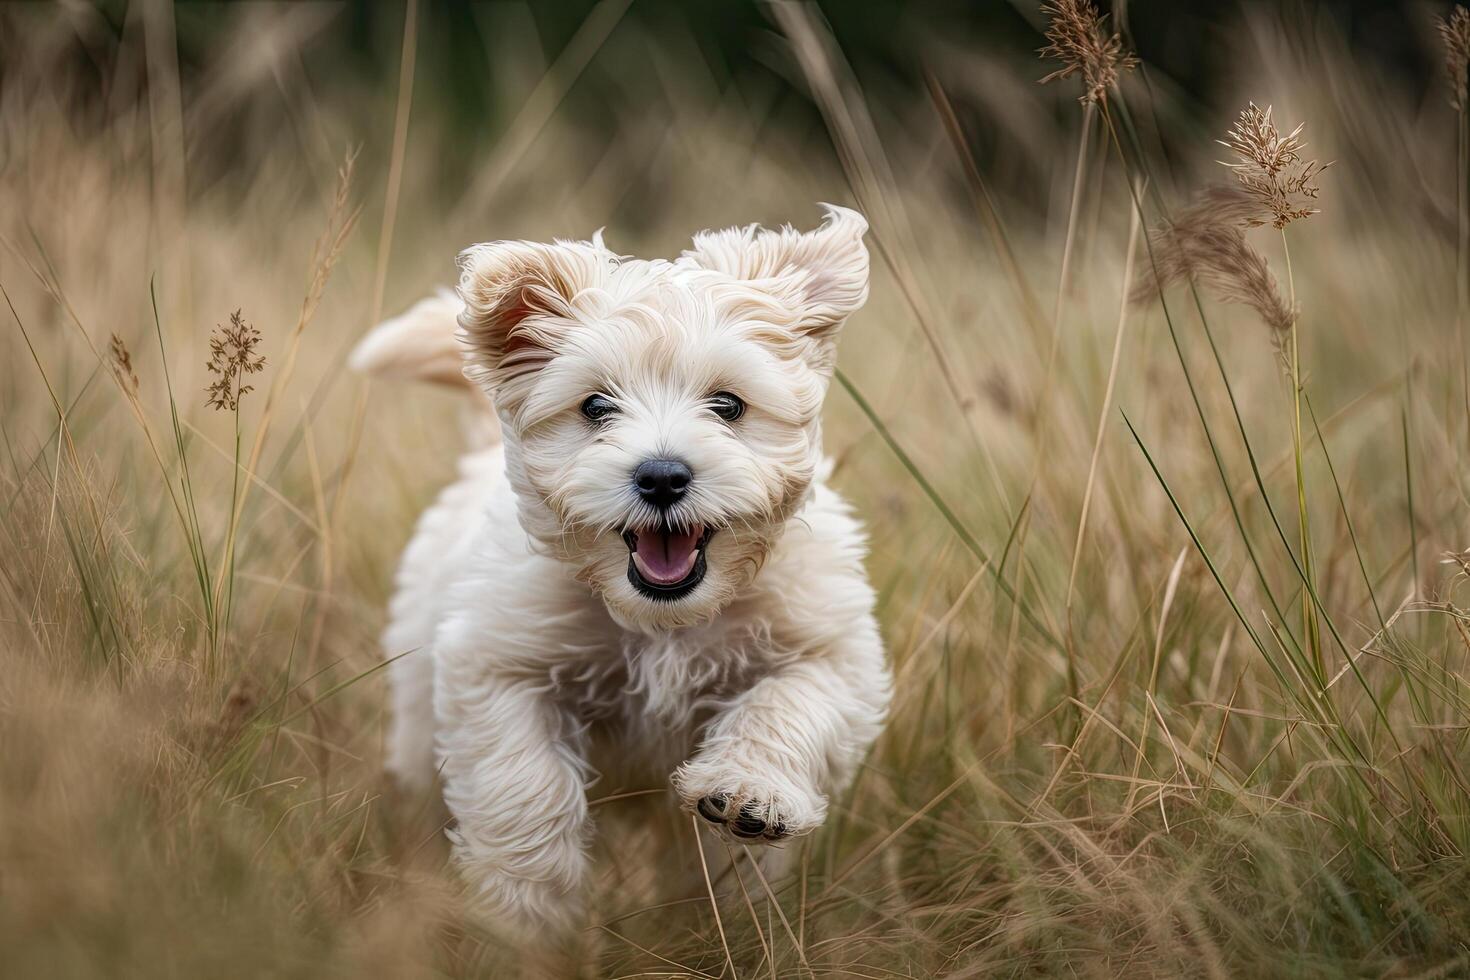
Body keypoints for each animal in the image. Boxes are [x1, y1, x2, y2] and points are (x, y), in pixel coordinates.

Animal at [349, 208, 887, 952]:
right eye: (597, 406)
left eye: (728, 404)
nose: (661, 476)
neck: (663, 623)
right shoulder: (496, 662)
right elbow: (522, 782)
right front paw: (526, 911)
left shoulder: (834, 647)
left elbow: (790, 703)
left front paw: (751, 792)